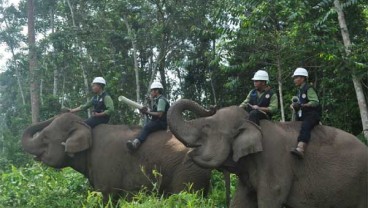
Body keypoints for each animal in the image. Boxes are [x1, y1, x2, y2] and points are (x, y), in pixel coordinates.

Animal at [167, 99, 368, 208]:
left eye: (206, 127)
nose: (212, 105)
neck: (253, 122)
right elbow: (241, 201)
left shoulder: (274, 161)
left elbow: (270, 198)